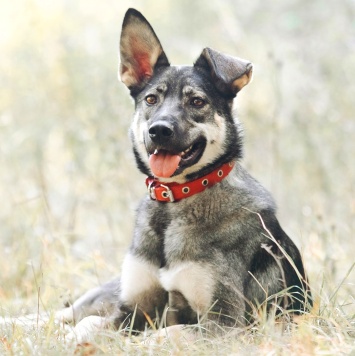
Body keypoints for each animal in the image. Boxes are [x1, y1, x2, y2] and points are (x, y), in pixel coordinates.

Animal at [55, 7, 312, 342]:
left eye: (197, 101)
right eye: (151, 99)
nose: (159, 130)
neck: (175, 200)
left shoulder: (224, 324)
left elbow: (164, 334)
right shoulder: (131, 310)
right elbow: (89, 324)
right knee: (64, 314)